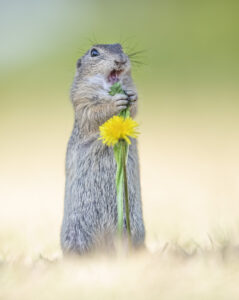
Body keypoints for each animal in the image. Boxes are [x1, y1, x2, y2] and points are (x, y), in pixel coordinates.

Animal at [60, 43, 145, 254]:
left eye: (121, 47)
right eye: (94, 52)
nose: (120, 60)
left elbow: (133, 109)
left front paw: (132, 96)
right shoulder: (82, 102)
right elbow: (94, 112)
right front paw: (115, 103)